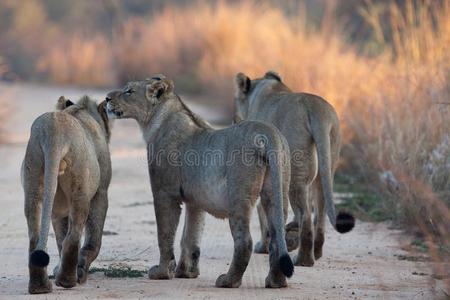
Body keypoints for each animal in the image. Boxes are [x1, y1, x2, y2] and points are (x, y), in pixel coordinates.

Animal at [22, 95, 112, 292]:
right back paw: (67, 279)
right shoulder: (101, 192)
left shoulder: (57, 208)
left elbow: (59, 237)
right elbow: (93, 238)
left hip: (33, 182)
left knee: (35, 238)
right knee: (74, 236)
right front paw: (80, 271)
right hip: (81, 190)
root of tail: (54, 130)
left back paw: (40, 286)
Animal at [106, 75, 296, 288]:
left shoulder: (165, 193)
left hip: (239, 196)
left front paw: (162, 272)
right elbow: (190, 237)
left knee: (244, 242)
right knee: (276, 237)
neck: (156, 121)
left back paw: (228, 281)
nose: (106, 98)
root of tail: (268, 132)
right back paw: (275, 281)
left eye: (129, 91)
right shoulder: (195, 200)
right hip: (276, 191)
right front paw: (186, 272)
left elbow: (165, 234)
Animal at [234, 71, 354, 268]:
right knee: (319, 209)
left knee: (305, 215)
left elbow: (263, 212)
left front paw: (264, 246)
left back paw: (303, 259)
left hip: (296, 172)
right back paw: (315, 252)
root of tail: (316, 109)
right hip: (326, 164)